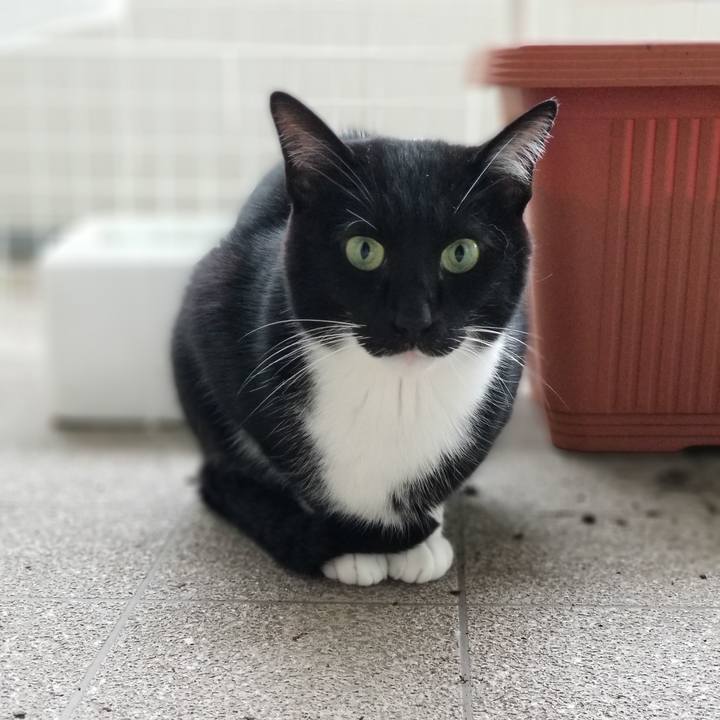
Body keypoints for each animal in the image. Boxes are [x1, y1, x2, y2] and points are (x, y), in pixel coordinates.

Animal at [172, 91, 556, 585]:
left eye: (461, 253)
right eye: (364, 250)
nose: (413, 319)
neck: (397, 393)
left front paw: (422, 539)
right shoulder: (215, 299)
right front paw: (355, 545)